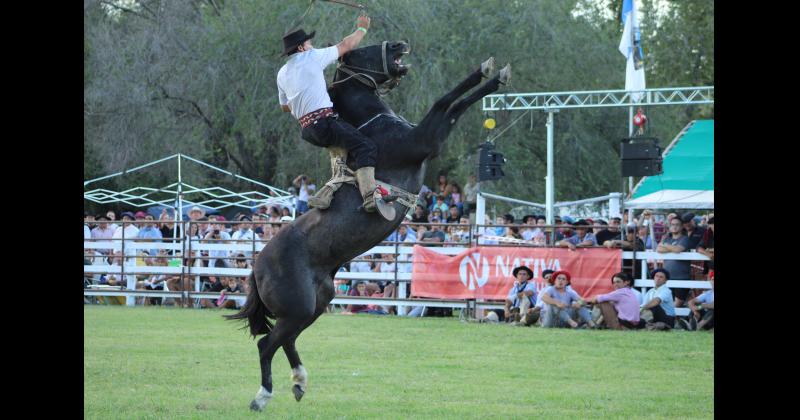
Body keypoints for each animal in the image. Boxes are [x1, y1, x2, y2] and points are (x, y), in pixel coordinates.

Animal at [228, 41, 510, 412]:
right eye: (362, 50)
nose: (399, 44)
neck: (374, 126)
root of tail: (257, 265)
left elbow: (452, 104)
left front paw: (494, 73)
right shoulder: (425, 140)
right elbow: (447, 102)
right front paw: (489, 73)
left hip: (315, 303)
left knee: (286, 341)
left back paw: (299, 383)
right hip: (300, 307)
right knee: (267, 344)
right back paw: (263, 396)